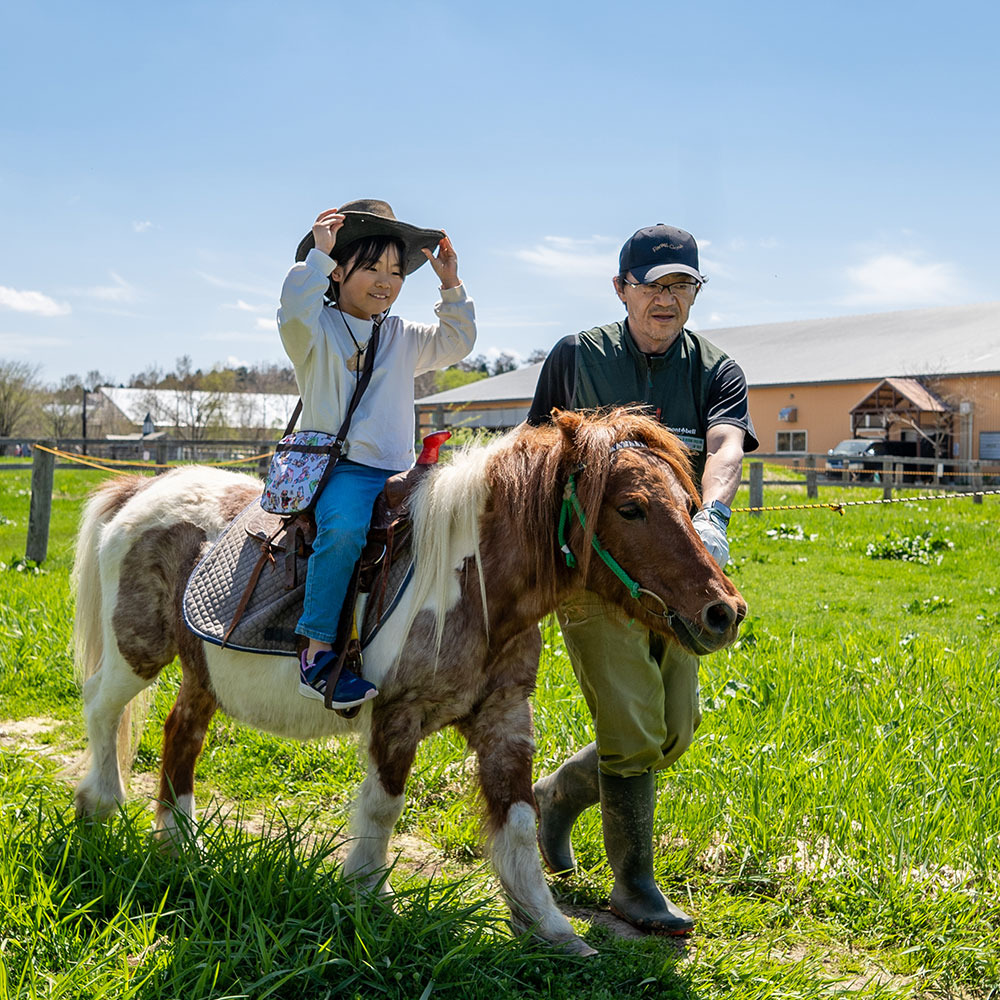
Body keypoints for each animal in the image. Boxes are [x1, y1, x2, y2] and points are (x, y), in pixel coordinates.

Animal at [72, 406, 744, 952]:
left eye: (689, 506)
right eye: (630, 508)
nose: (724, 612)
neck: (471, 582)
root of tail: (142, 488)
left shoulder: (504, 716)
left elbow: (519, 822)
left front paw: (549, 927)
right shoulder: (397, 716)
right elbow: (383, 807)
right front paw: (367, 898)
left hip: (202, 673)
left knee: (180, 734)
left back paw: (180, 847)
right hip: (138, 651)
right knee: (102, 710)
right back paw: (99, 810)